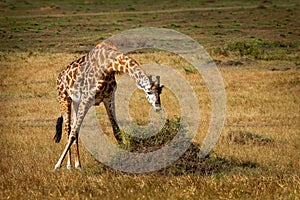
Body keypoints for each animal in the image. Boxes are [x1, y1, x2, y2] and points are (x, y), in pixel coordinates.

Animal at [52, 41, 163, 170]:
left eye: (160, 92)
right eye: (149, 92)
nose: (158, 107)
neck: (108, 65)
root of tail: (59, 76)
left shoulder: (108, 98)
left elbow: (116, 130)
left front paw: (123, 155)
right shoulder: (87, 99)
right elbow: (73, 134)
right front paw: (57, 164)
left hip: (76, 102)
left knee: (73, 127)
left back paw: (78, 164)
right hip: (64, 99)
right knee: (68, 128)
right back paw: (69, 165)